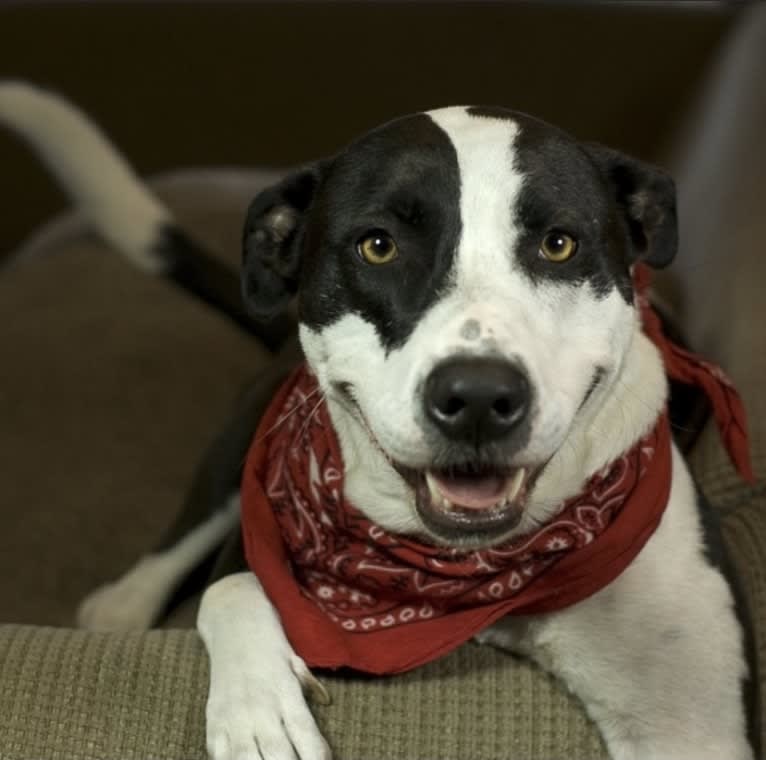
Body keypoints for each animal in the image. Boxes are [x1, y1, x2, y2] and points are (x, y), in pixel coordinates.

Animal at [0, 83, 756, 760]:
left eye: (560, 245)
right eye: (378, 246)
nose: (478, 396)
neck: (467, 579)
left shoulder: (694, 721)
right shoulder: (263, 510)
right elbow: (233, 589)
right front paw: (258, 712)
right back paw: (122, 605)